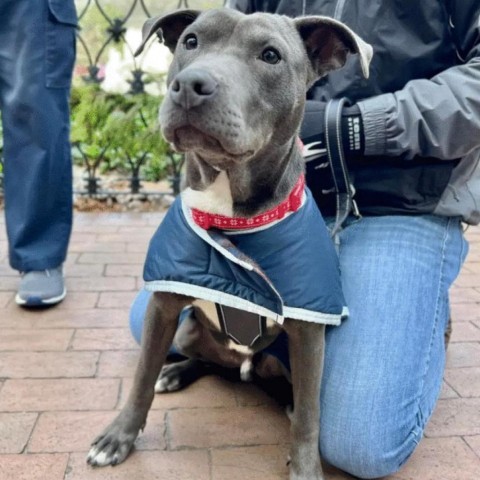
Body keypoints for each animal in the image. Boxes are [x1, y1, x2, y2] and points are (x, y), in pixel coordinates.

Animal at [86, 8, 372, 480]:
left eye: (271, 55)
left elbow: (310, 415)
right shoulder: (163, 306)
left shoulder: (308, 333)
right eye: (190, 41)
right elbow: (142, 375)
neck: (229, 217)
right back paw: (176, 373)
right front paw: (119, 437)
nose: (190, 85)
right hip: (187, 330)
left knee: (290, 396)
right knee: (200, 360)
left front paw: (305, 469)